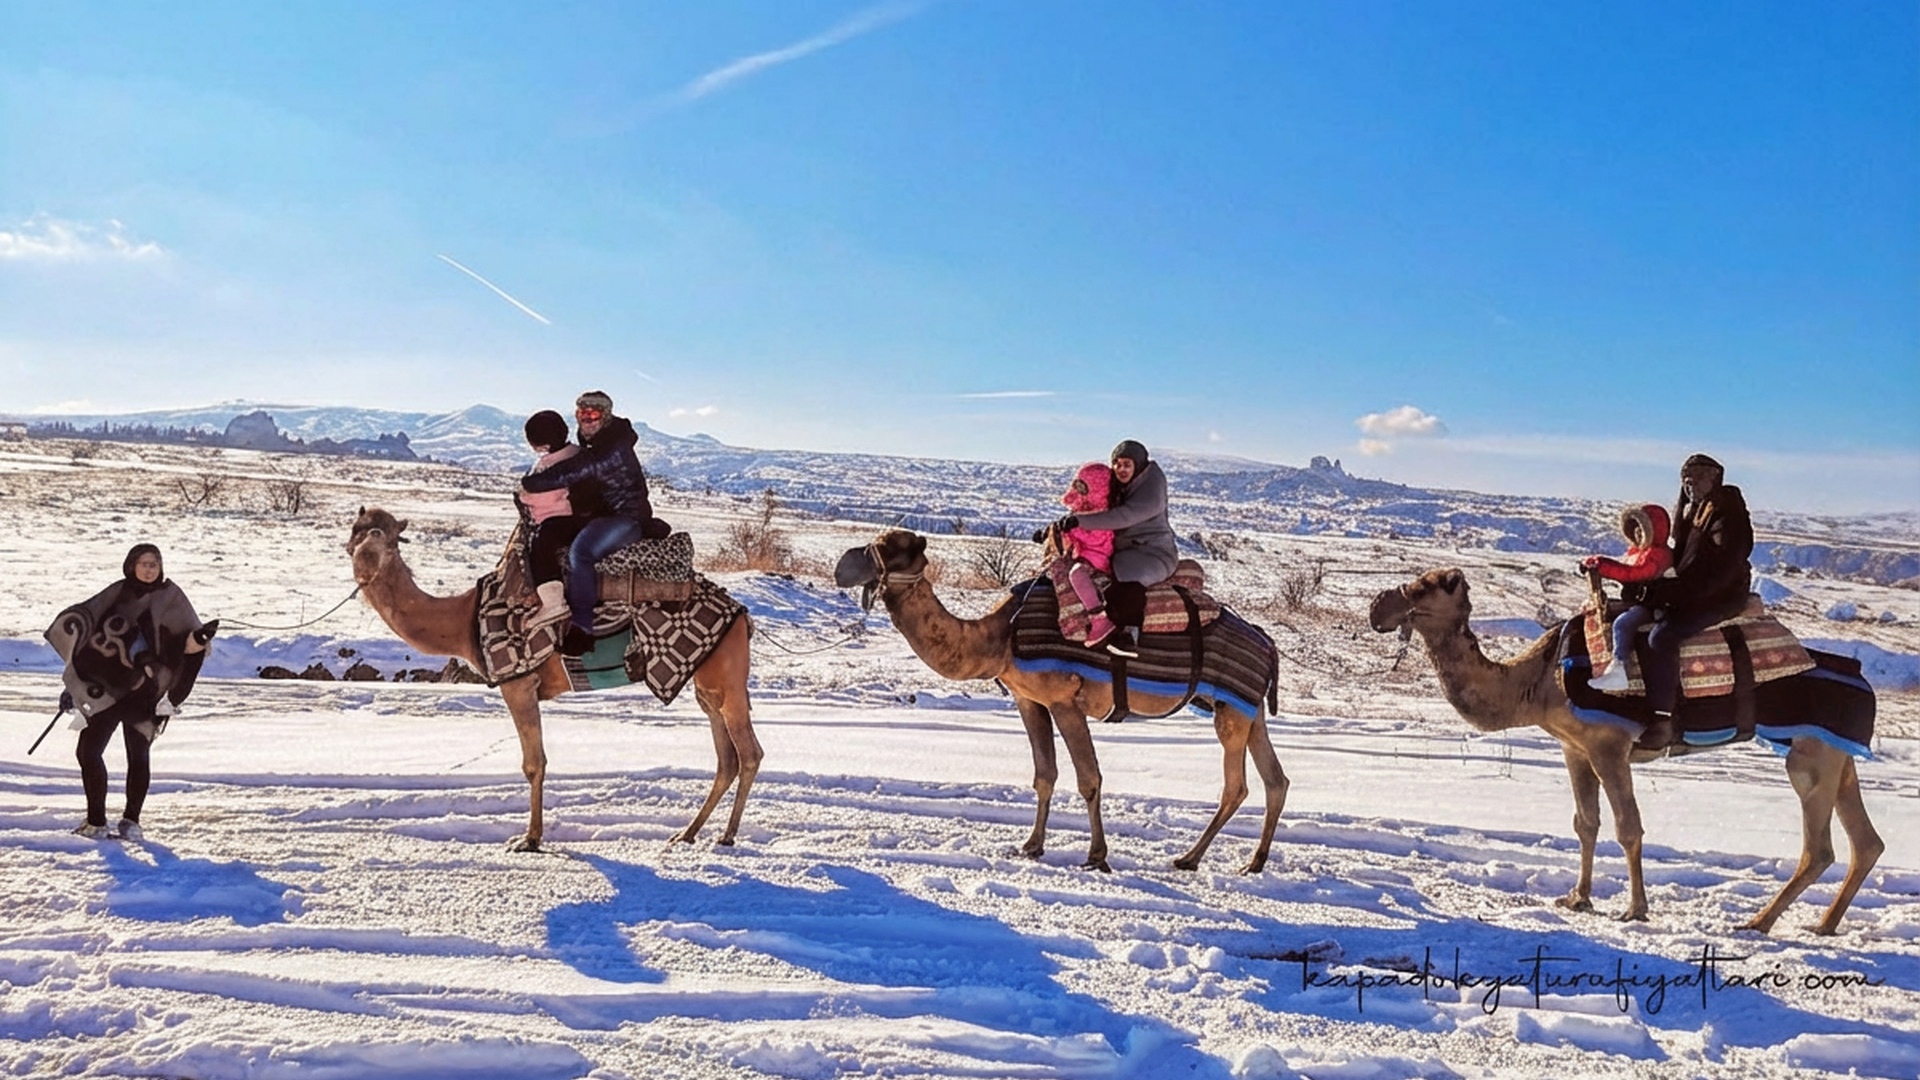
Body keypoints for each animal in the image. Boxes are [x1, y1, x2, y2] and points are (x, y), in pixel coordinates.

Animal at [346, 507, 761, 852]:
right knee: (726, 757)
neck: (463, 620)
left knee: (749, 752)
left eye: (383, 534)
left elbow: (534, 763)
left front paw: (528, 839)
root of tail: (743, 615)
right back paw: (687, 833)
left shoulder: (518, 683)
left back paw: (726, 836)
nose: (360, 553)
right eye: (356, 529)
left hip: (727, 676)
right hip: (705, 682)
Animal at [834, 530, 1288, 873]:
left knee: (1236, 785)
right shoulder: (1029, 700)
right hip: (1247, 708)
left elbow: (1089, 779)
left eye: (892, 546)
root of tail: (1268, 644)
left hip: (1232, 708)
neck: (1000, 637)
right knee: (1275, 780)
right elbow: (1044, 774)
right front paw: (1031, 845)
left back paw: (1189, 858)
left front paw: (1097, 856)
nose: (844, 566)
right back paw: (1253, 862)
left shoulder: (1064, 701)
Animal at [1368, 568, 1884, 934]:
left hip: (1809, 757)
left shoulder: (1608, 746)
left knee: (1819, 847)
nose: (1377, 606)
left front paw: (1635, 909)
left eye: (1425, 587)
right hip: (1837, 754)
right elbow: (1586, 824)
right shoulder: (1574, 748)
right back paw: (1823, 924)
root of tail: (1864, 680)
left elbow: (1627, 827)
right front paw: (1577, 898)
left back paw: (1759, 922)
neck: (1537, 681)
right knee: (1866, 841)